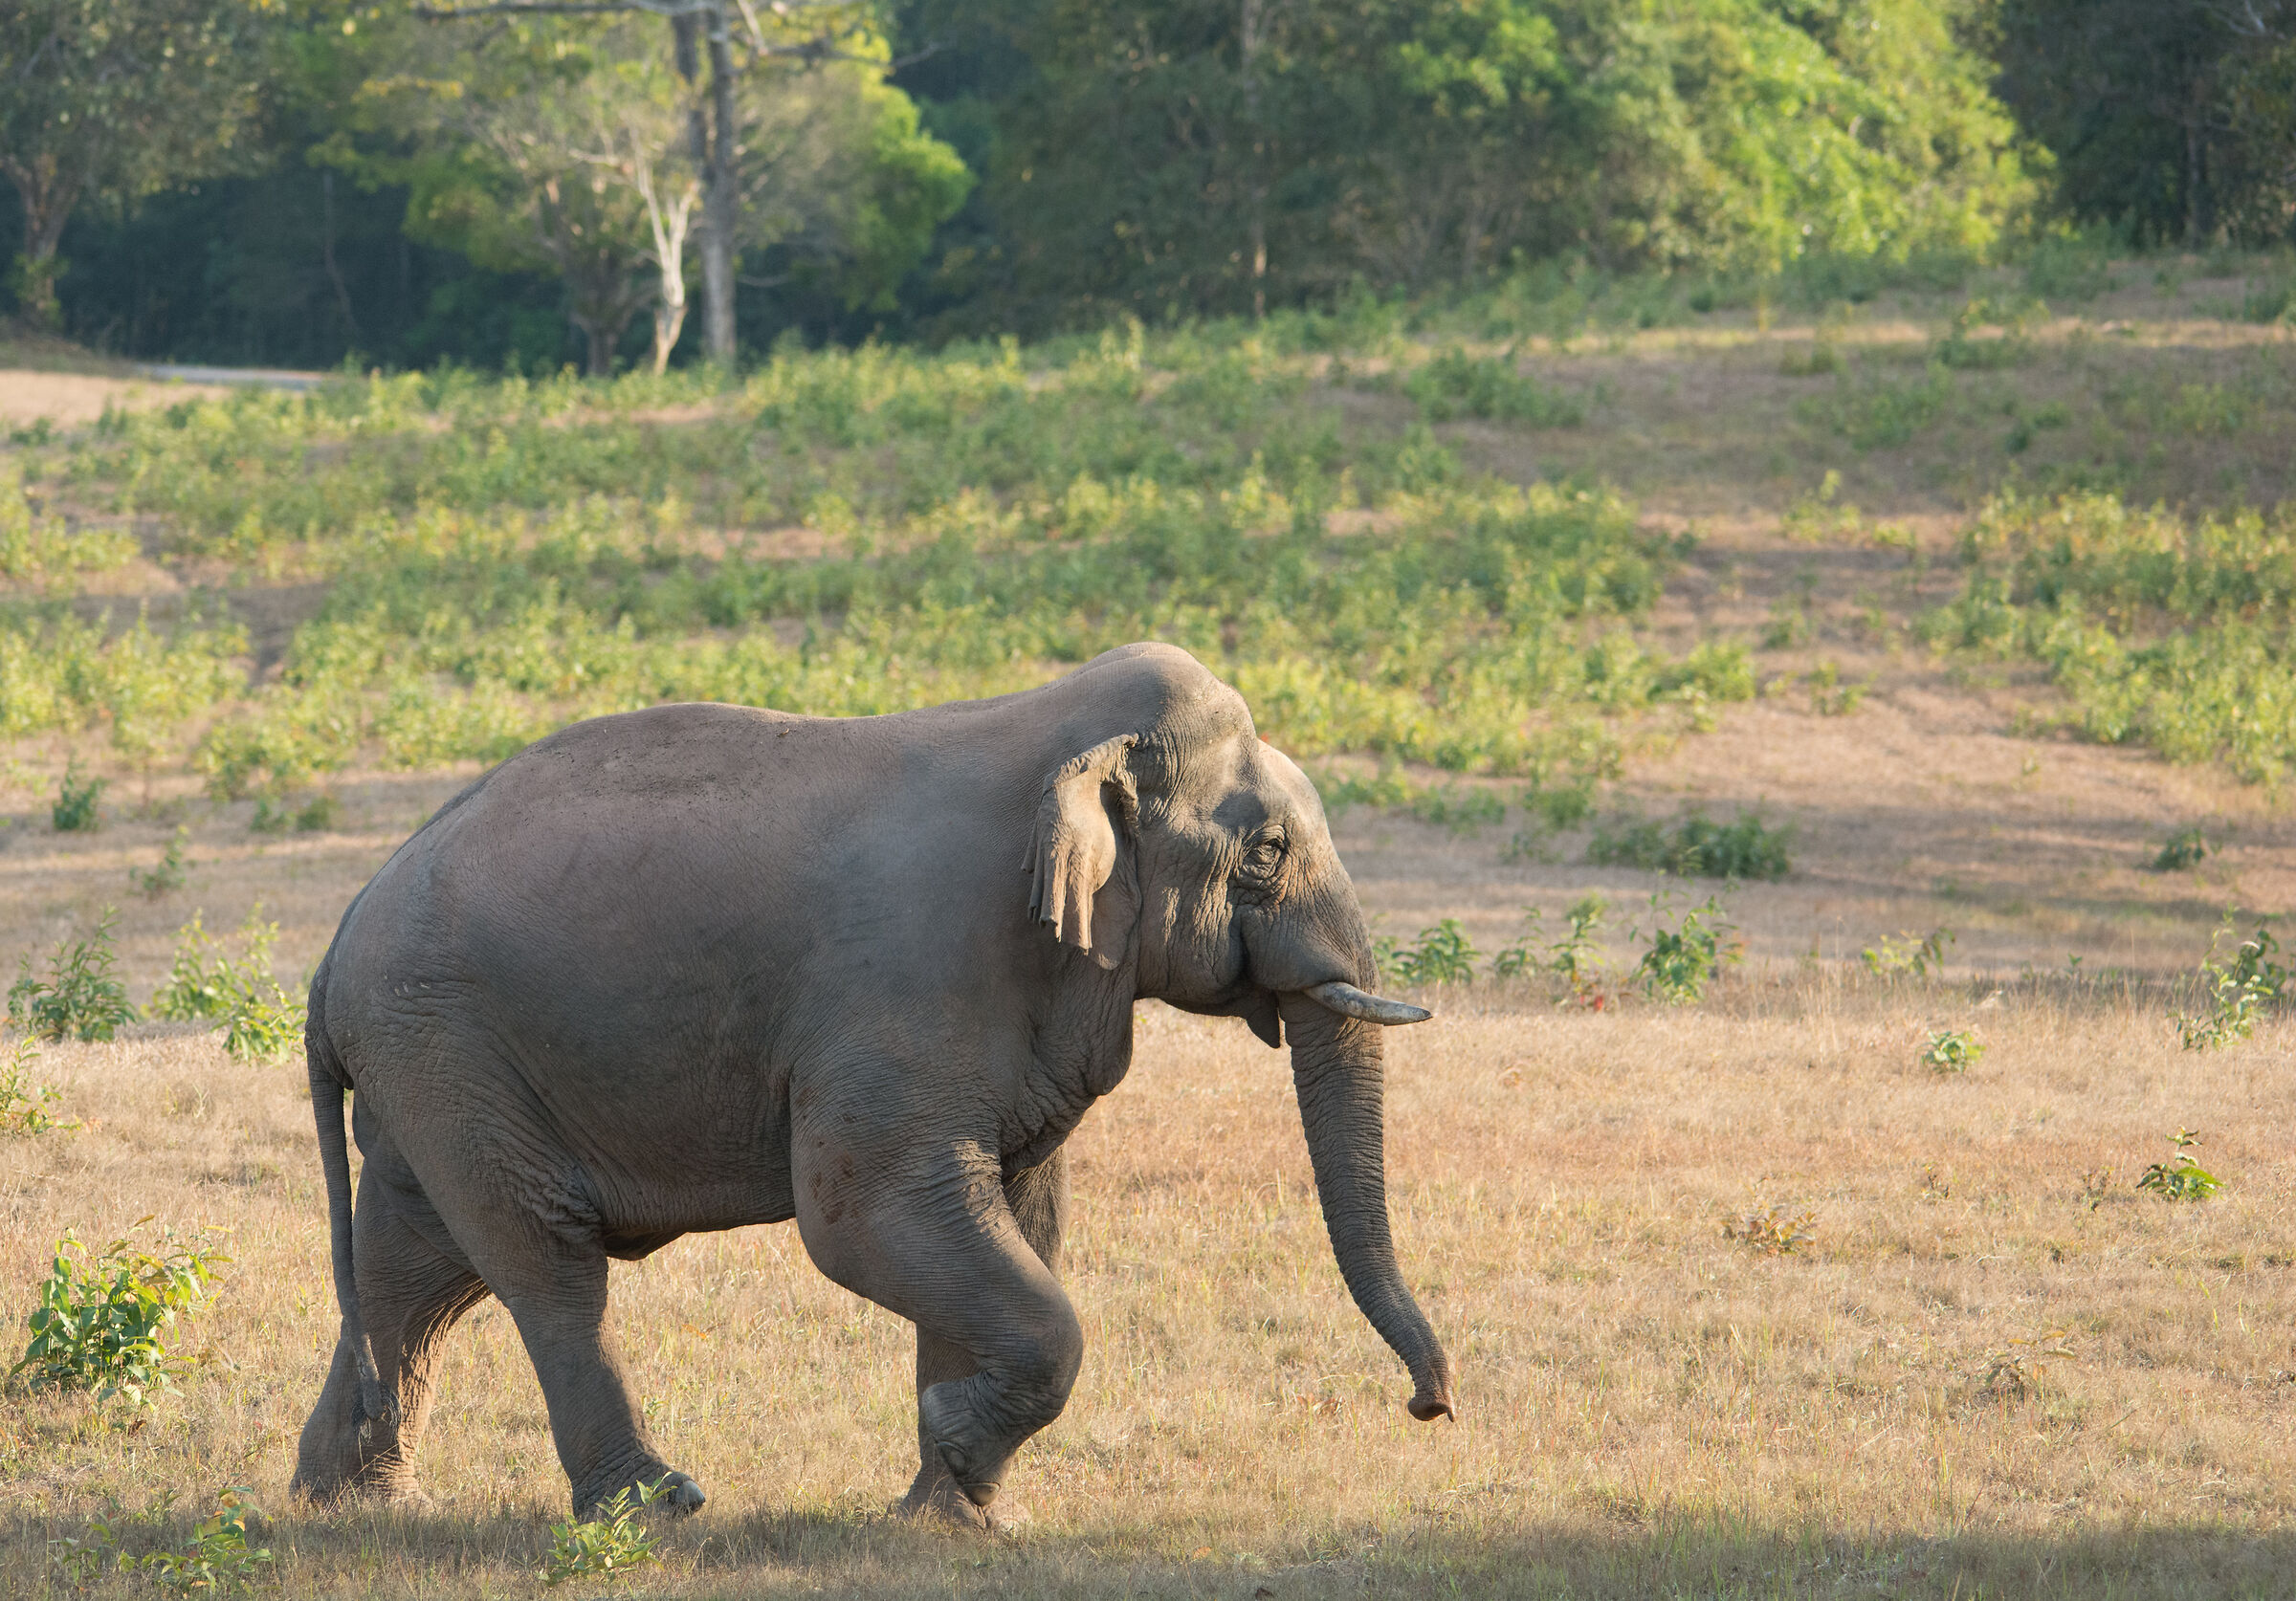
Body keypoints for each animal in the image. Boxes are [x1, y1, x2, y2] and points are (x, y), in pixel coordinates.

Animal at [291, 641, 1454, 1525]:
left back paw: (350, 1503)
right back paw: (654, 1510)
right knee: (542, 1261)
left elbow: (1014, 1219)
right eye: (1267, 850)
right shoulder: (912, 985)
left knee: (414, 1266)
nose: (1430, 1409)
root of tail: (332, 950)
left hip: (433, 1062)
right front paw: (954, 1451)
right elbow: (866, 1216)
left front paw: (950, 1513)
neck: (1057, 733)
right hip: (445, 1043)